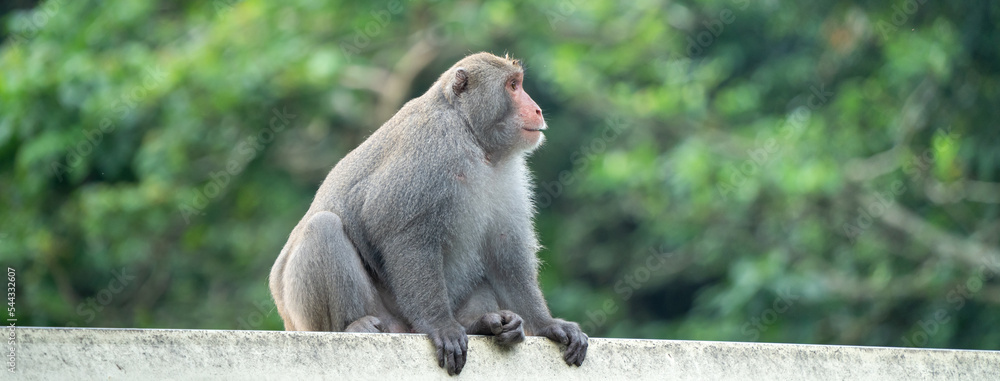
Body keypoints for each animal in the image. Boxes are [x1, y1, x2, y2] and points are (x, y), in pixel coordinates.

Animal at [270, 51, 588, 374]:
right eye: (513, 86)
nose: (536, 109)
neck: (471, 134)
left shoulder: (506, 171)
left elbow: (504, 247)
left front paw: (547, 325)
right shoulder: (435, 148)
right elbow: (403, 232)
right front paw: (440, 325)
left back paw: (484, 323)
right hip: (319, 314)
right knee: (323, 228)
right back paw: (352, 326)